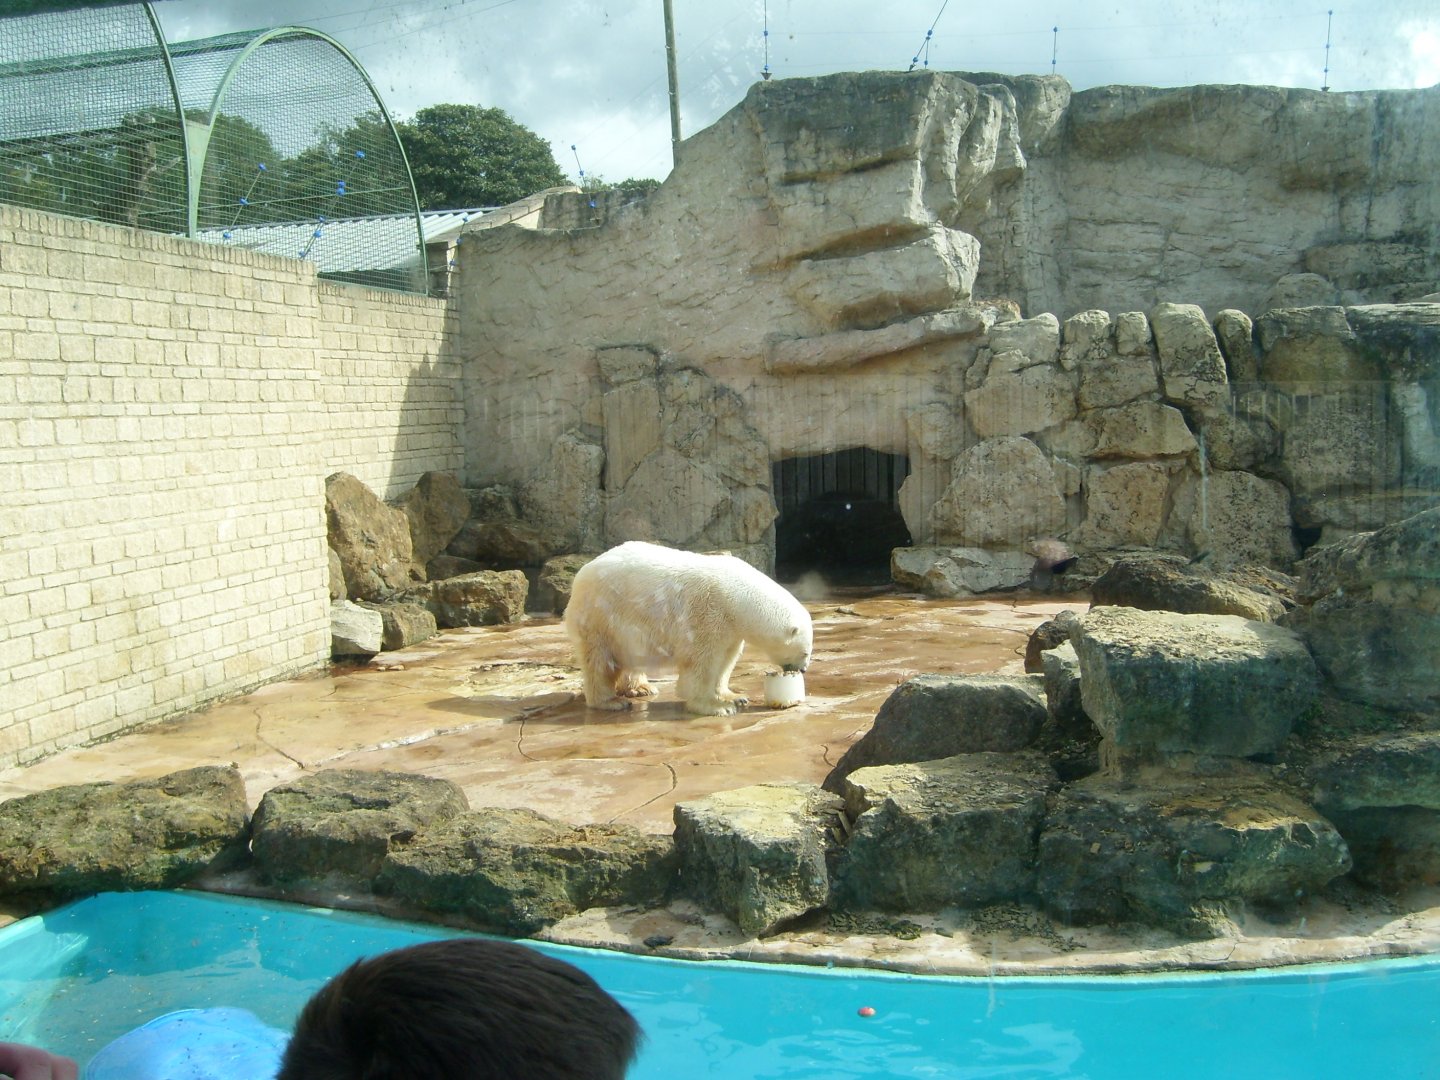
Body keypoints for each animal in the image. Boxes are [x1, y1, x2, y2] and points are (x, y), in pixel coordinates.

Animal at [564, 541, 813, 717]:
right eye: (805, 652)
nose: (802, 670)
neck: (737, 598)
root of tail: (582, 572)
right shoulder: (707, 615)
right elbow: (702, 663)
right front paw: (716, 707)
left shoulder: (730, 629)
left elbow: (726, 660)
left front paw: (735, 696)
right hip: (601, 616)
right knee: (600, 661)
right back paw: (611, 701)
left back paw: (641, 688)